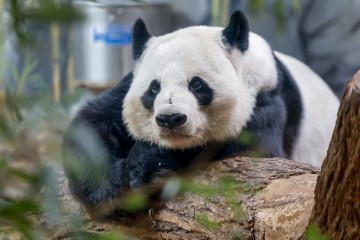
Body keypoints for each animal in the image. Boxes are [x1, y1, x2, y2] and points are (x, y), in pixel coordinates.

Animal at [62, 10, 340, 218]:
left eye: (196, 85)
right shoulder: (125, 86)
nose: (171, 118)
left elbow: (250, 152)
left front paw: (148, 166)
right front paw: (107, 190)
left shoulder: (267, 96)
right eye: (154, 88)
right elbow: (93, 120)